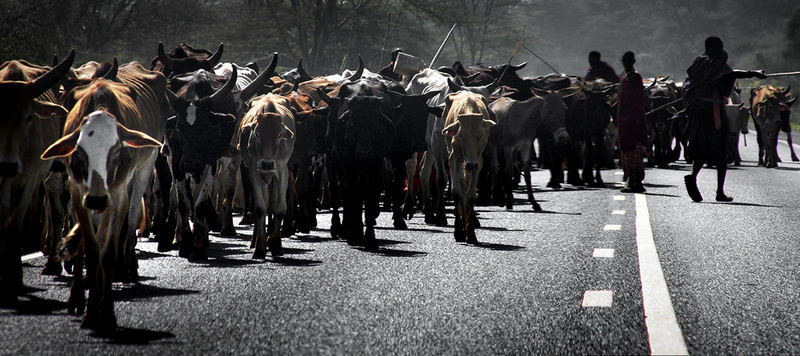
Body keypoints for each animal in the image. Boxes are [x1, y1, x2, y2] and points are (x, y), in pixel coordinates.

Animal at [0, 50, 74, 300]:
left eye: (29, 117)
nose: (8, 166)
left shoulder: (29, 178)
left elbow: (13, 224)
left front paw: (14, 280)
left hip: (52, 172)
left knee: (58, 211)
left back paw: (52, 263)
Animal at [41, 59, 166, 330]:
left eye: (117, 151)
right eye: (79, 151)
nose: (97, 199)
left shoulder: (117, 195)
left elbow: (106, 252)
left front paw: (105, 311)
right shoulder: (79, 194)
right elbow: (91, 248)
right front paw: (85, 304)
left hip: (142, 172)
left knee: (130, 220)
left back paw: (126, 268)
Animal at [438, 90, 494, 243]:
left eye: (480, 136)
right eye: (461, 135)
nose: (470, 164)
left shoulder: (478, 162)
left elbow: (470, 194)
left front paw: (470, 233)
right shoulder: (454, 159)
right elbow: (457, 192)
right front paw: (459, 230)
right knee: (462, 186)